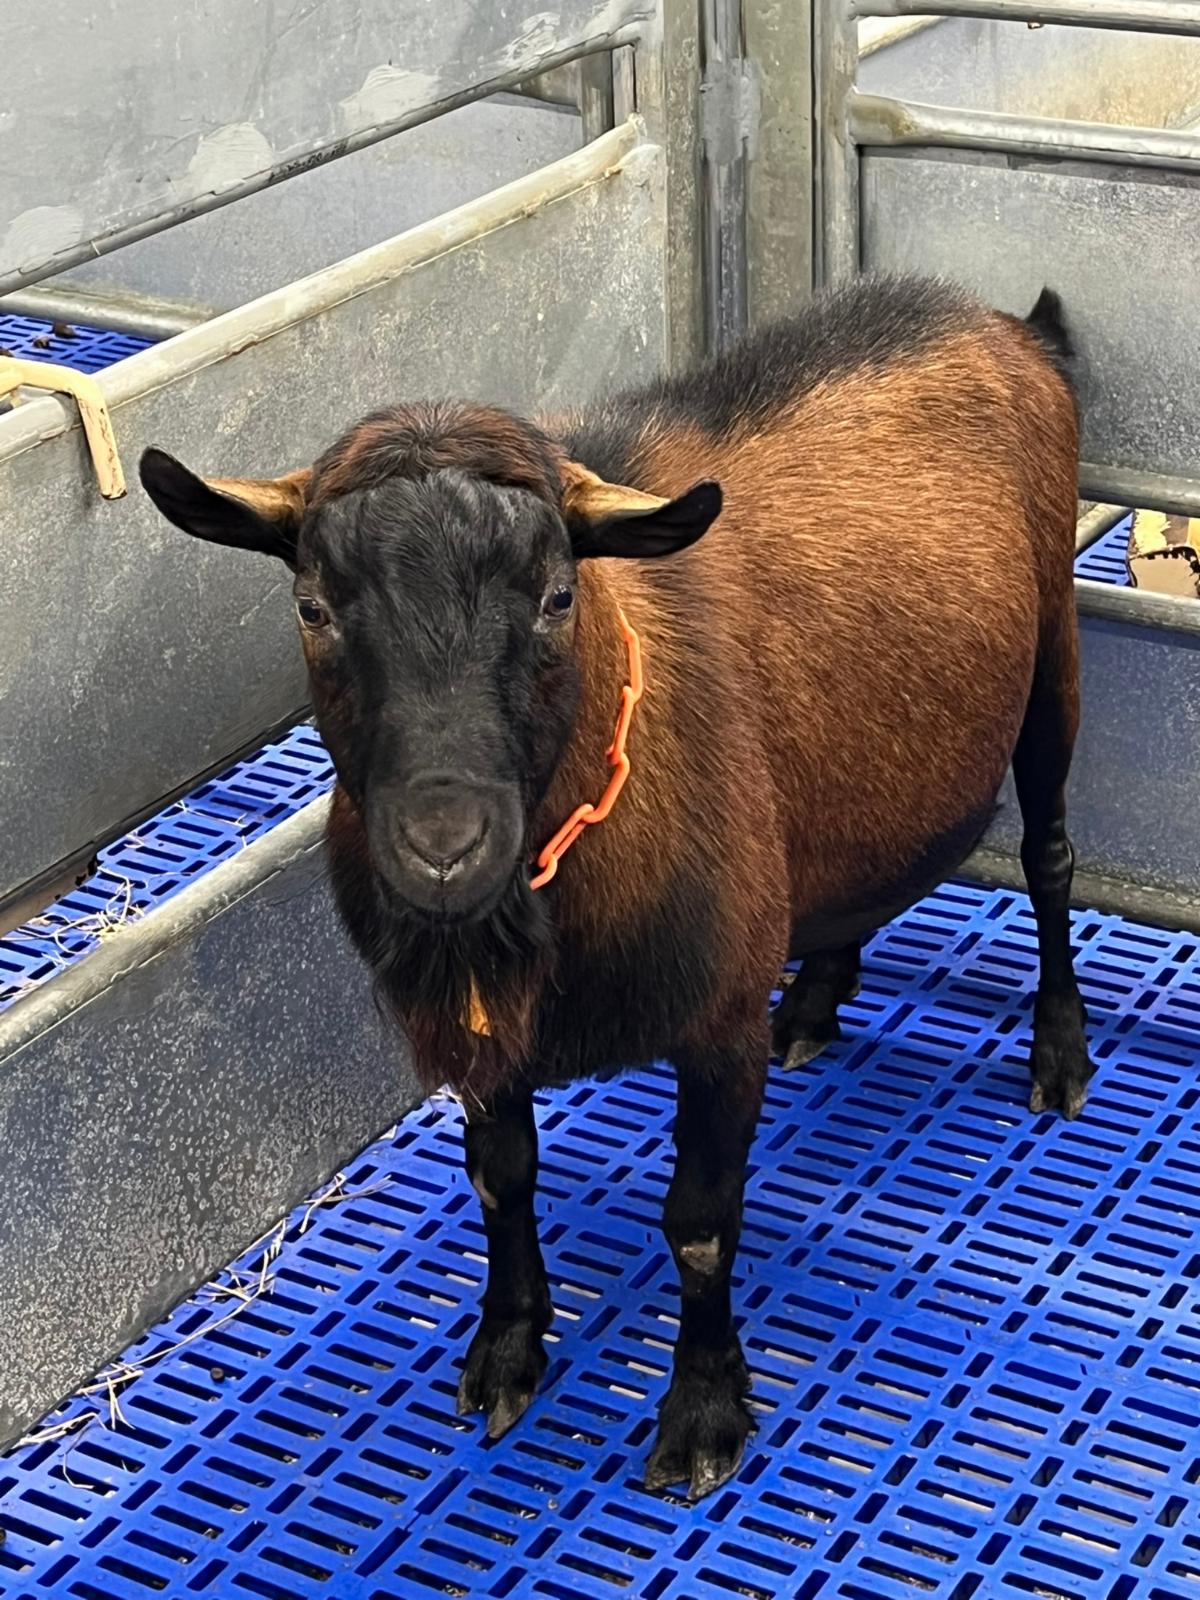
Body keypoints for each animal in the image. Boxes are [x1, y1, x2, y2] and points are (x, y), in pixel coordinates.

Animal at [140, 274, 1089, 1500]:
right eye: (312, 607)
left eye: (557, 597)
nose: (443, 846)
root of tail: (994, 318)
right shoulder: (486, 1033)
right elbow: (500, 1179)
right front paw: (506, 1347)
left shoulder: (718, 1020)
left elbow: (701, 1223)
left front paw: (702, 1413)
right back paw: (817, 998)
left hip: (1054, 650)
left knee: (1051, 859)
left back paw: (1059, 1053)